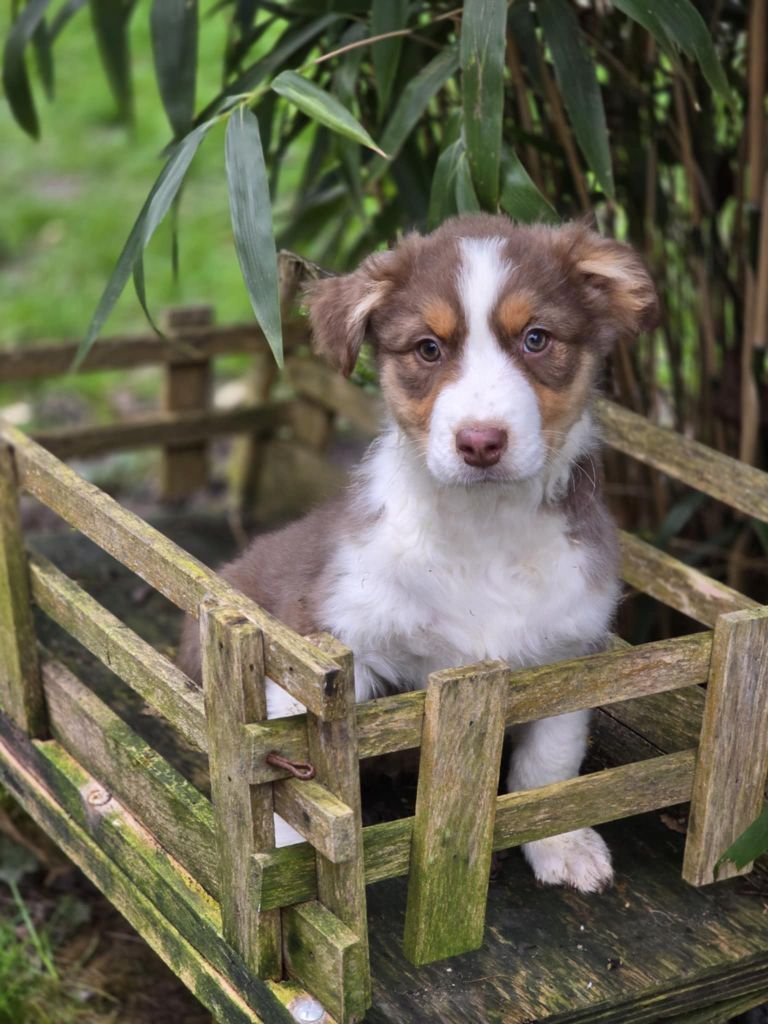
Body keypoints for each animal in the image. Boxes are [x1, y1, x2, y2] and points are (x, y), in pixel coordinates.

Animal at [177, 216, 659, 897]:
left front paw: (559, 842)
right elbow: (289, 778)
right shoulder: (326, 638)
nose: (480, 442)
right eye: (428, 349)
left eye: (537, 339)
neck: (483, 529)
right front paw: (293, 881)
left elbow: (548, 766)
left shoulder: (569, 652)